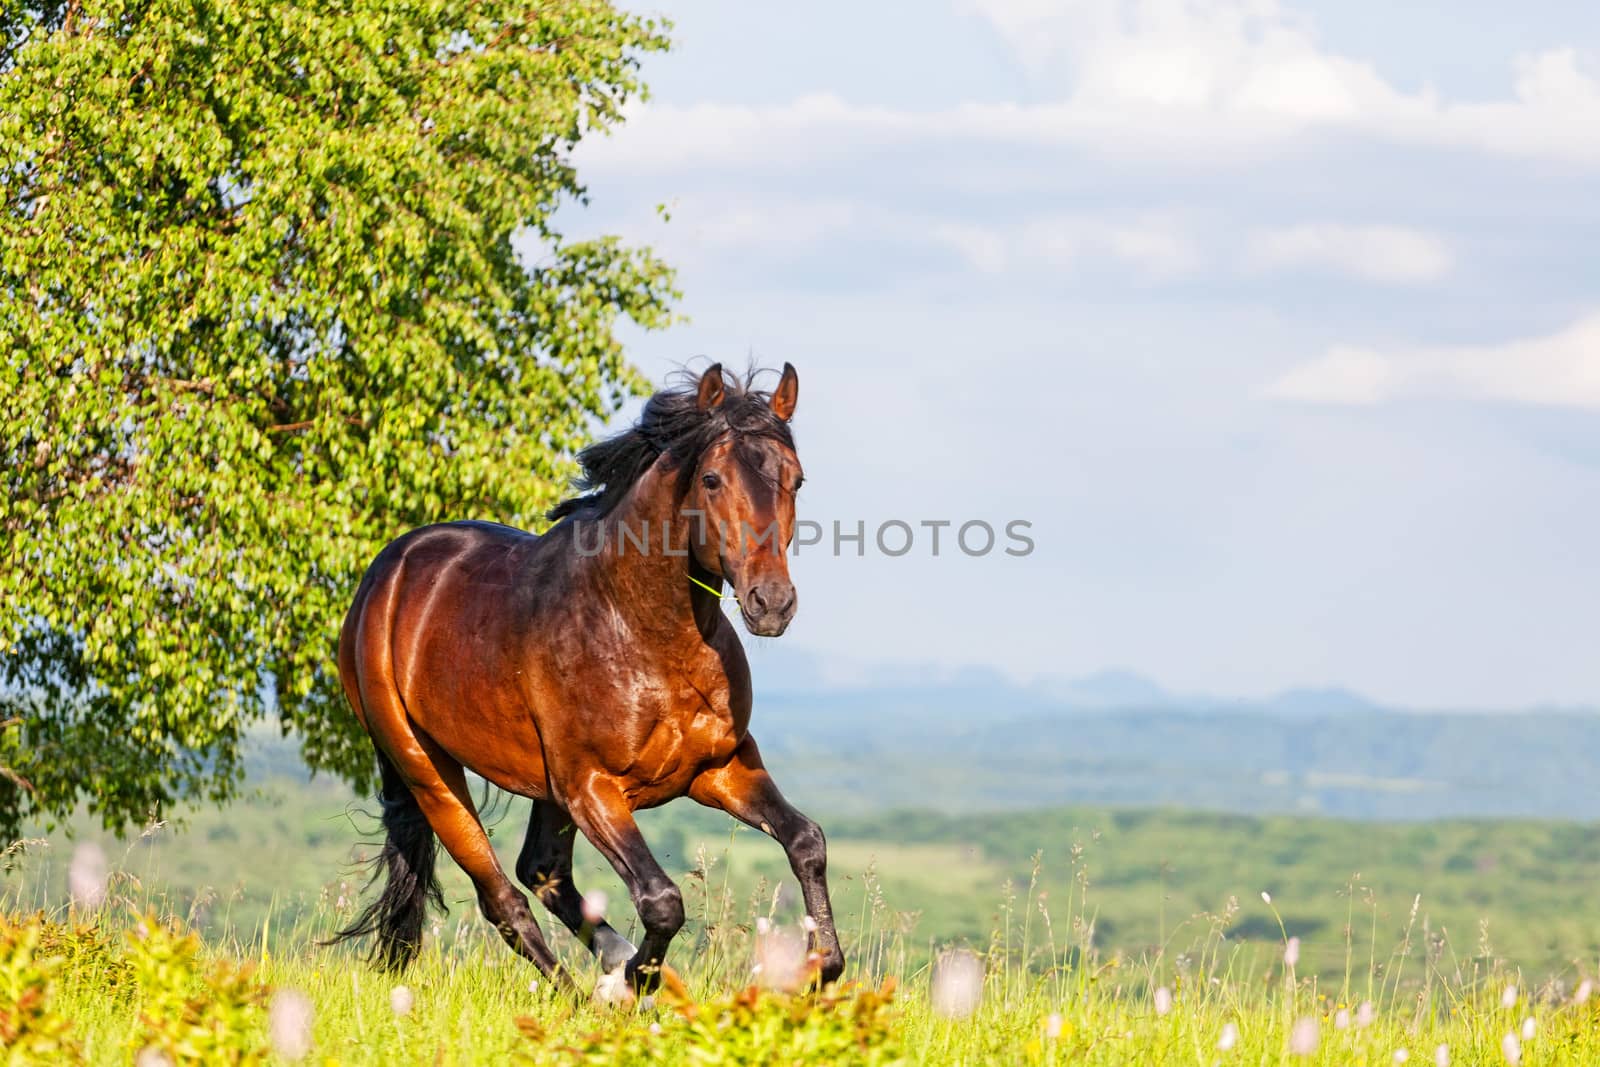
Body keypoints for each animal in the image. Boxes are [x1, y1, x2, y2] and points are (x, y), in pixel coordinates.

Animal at [331, 364, 844, 991]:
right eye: (712, 479)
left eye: (795, 479)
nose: (770, 603)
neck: (643, 632)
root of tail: (384, 576)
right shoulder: (593, 788)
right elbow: (661, 900)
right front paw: (638, 983)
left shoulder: (719, 768)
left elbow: (806, 841)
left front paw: (822, 968)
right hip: (426, 769)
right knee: (503, 898)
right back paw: (588, 990)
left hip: (544, 785)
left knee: (541, 871)